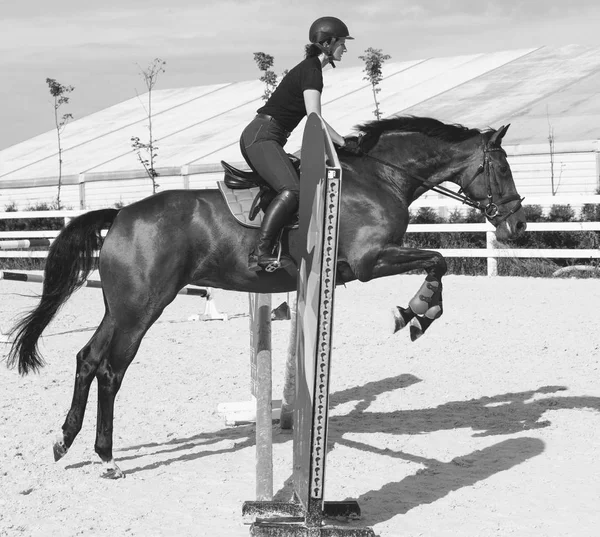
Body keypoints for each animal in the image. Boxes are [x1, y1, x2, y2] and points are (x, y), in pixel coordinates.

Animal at [7, 116, 528, 478]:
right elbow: (437, 260)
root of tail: (119, 214)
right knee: (111, 371)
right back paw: (108, 457)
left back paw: (66, 441)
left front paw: (417, 311)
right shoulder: (368, 262)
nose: (518, 227)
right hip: (142, 309)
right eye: (501, 168)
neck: (379, 178)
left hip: (121, 306)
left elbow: (437, 260)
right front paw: (418, 312)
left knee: (87, 358)